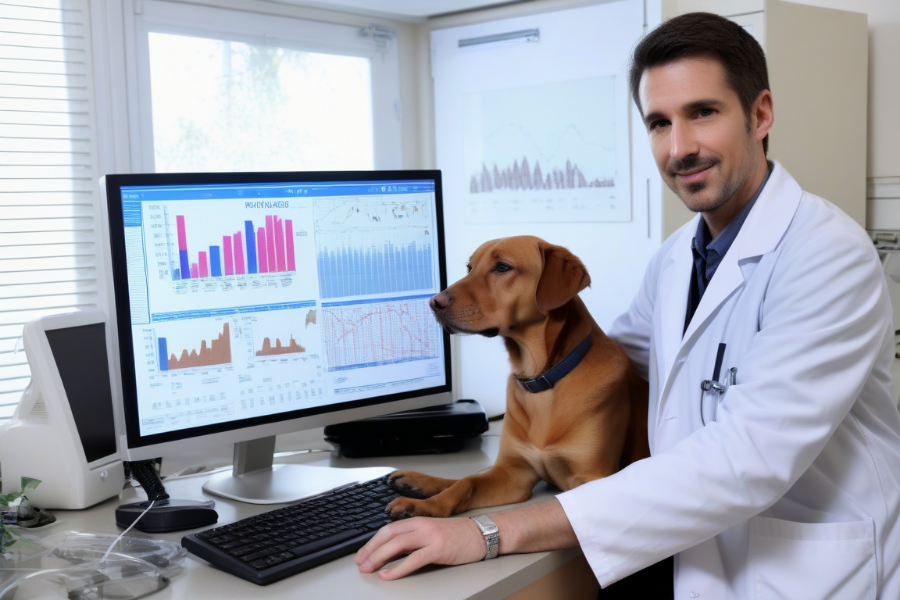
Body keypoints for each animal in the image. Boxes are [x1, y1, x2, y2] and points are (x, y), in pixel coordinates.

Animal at [386, 237, 648, 516]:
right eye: (469, 267)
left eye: (502, 267)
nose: (434, 301)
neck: (541, 378)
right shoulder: (513, 474)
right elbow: (467, 483)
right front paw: (422, 505)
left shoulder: (592, 478)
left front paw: (424, 506)